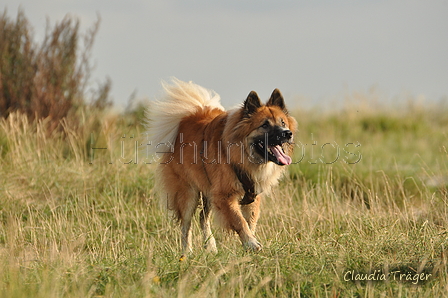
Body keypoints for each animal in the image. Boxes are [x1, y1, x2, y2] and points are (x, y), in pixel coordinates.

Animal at [145, 78, 296, 253]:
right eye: (264, 125)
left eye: (283, 122)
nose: (287, 133)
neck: (242, 155)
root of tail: (185, 120)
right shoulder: (224, 196)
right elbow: (239, 221)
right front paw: (251, 243)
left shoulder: (251, 198)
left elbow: (250, 222)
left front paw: (249, 243)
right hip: (189, 193)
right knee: (186, 224)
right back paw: (187, 252)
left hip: (210, 191)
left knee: (202, 217)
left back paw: (210, 247)